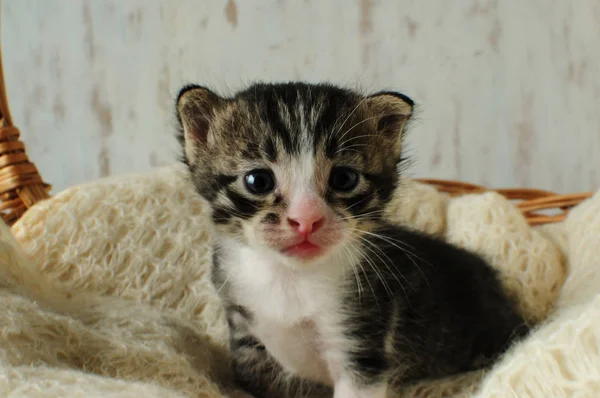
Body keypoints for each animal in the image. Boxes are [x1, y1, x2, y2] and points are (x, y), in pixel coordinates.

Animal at [175, 81, 528, 398]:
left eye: (344, 179)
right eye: (257, 181)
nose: (306, 219)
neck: (291, 278)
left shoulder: (361, 337)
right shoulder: (247, 333)